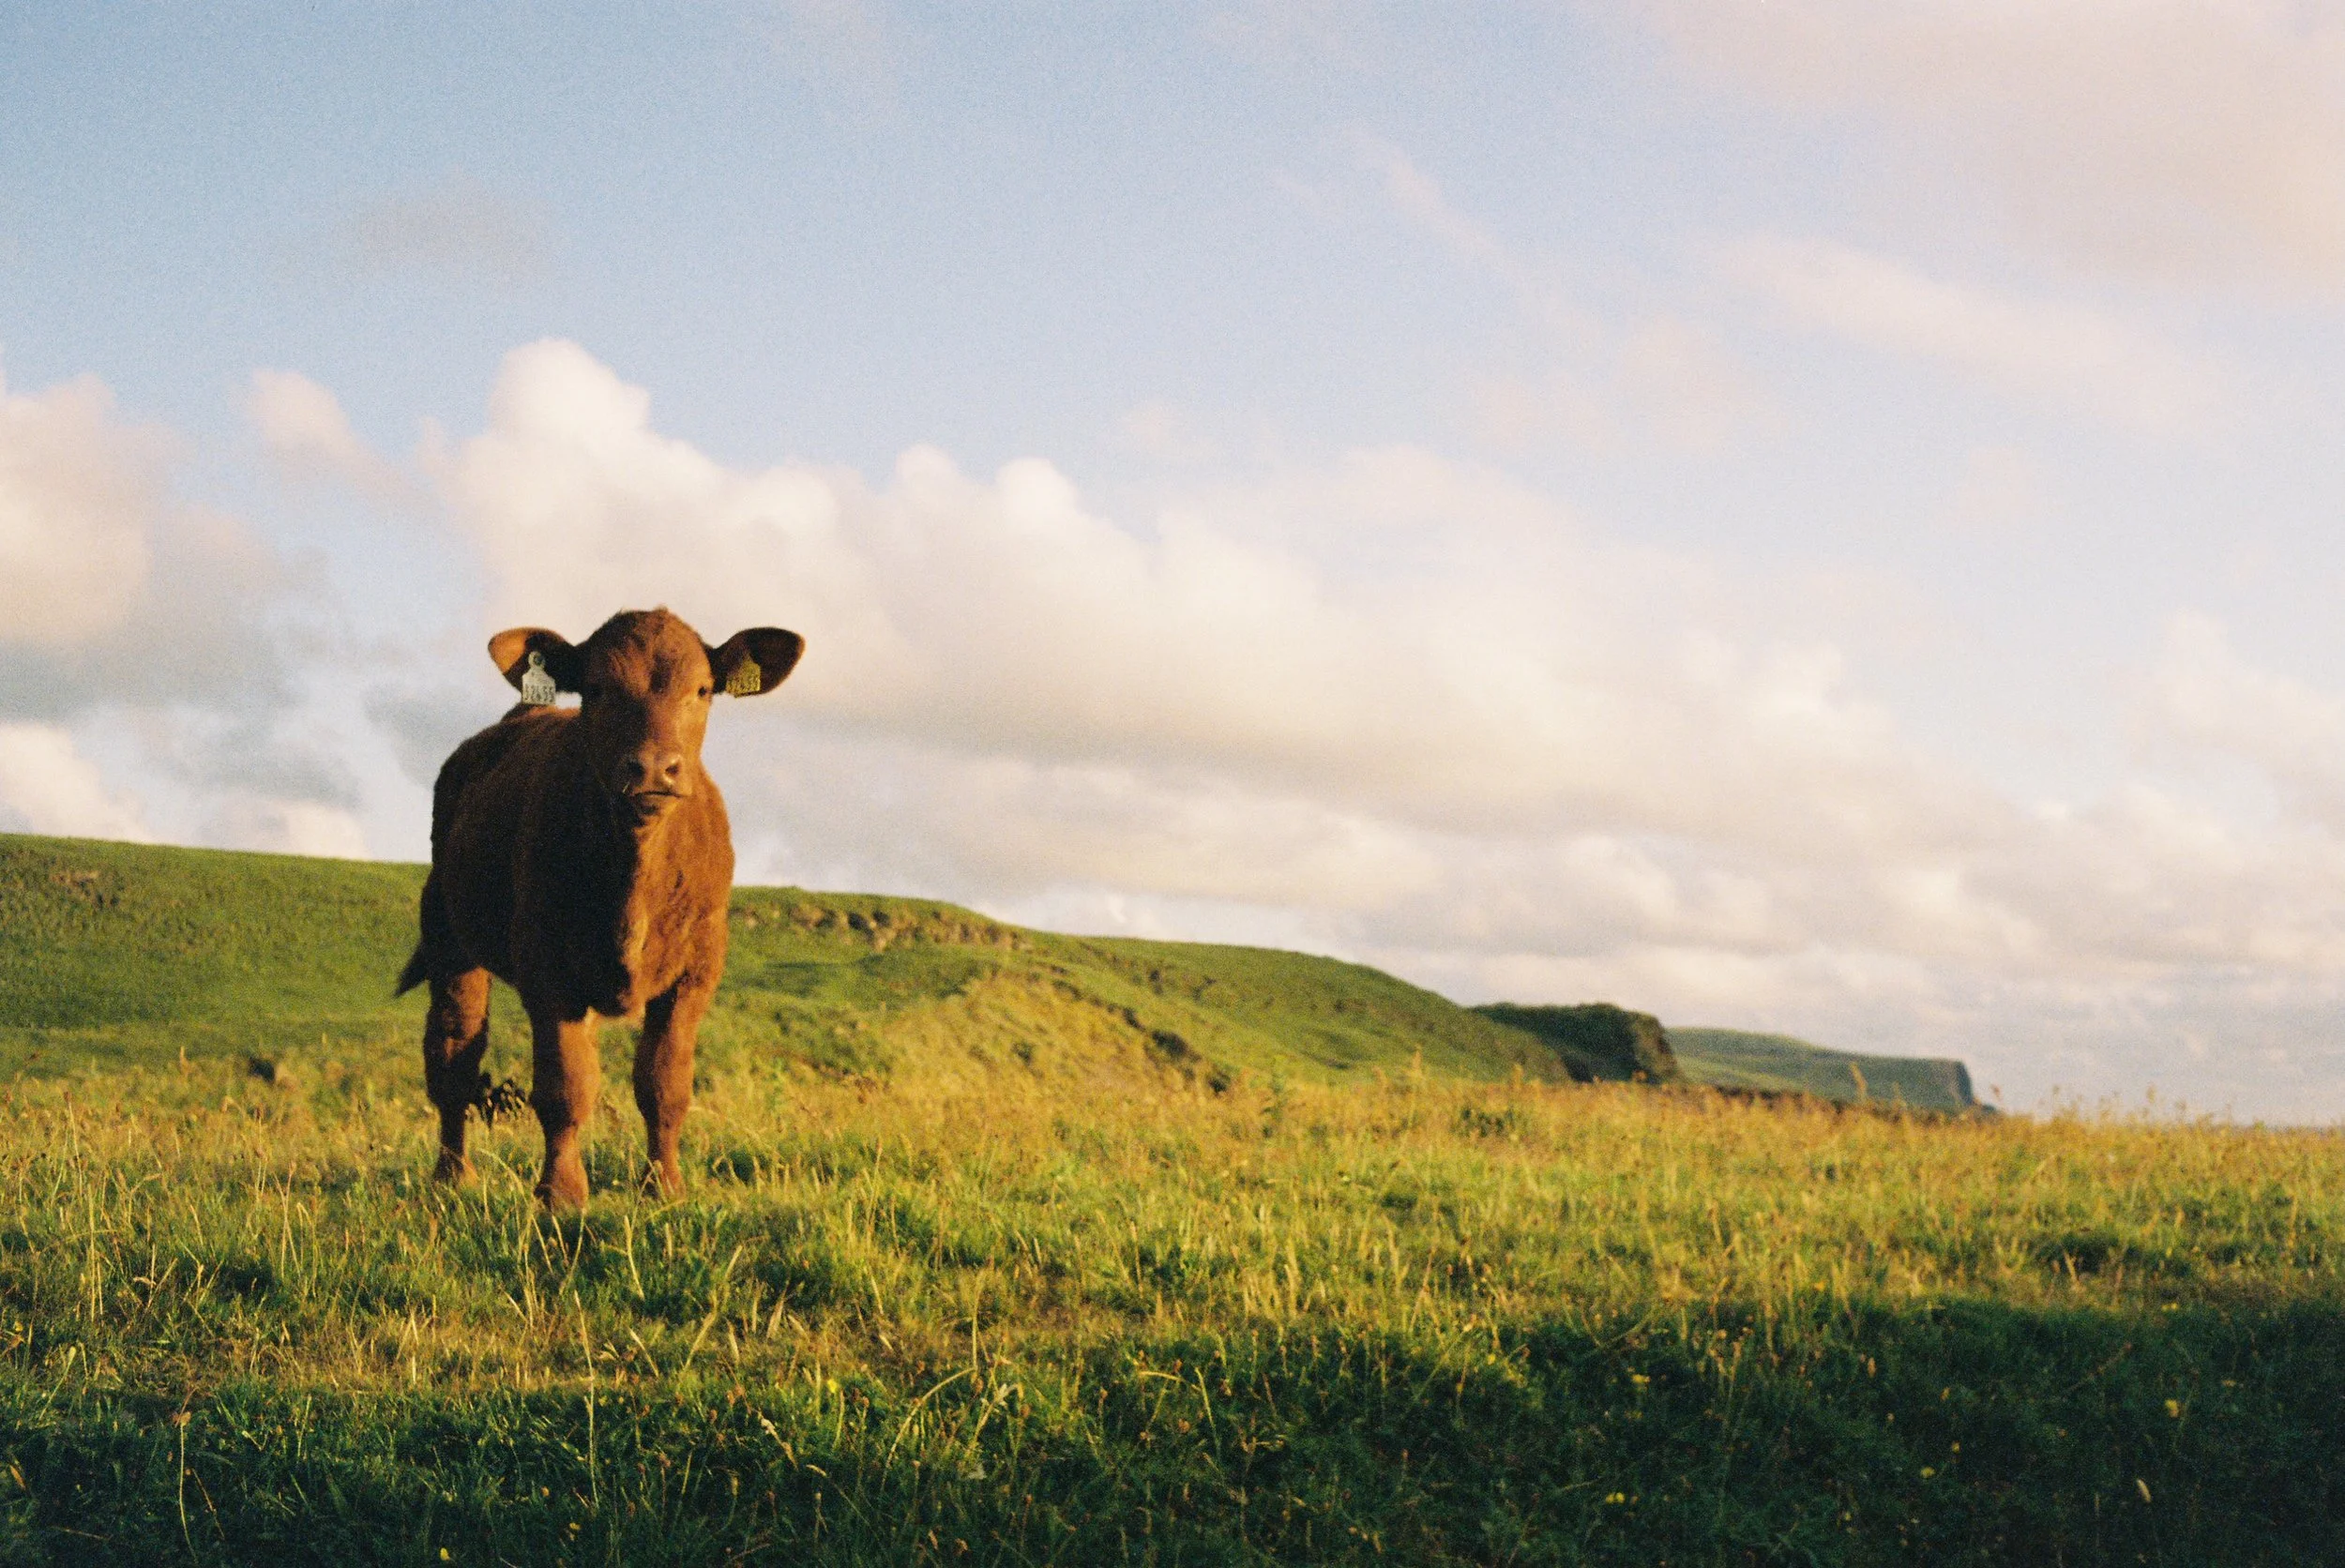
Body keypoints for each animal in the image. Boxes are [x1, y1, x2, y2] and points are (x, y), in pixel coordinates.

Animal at [396, 608, 804, 1208]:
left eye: (702, 690)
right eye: (597, 688)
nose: (654, 769)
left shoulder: (696, 971)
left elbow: (663, 1084)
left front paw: (664, 1185)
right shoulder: (547, 971)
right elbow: (564, 1087)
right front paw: (561, 1194)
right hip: (449, 936)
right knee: (453, 1056)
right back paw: (451, 1175)